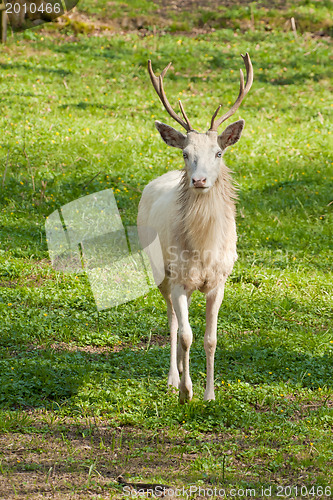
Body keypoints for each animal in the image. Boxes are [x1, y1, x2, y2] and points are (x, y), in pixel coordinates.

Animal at [137, 53, 252, 402]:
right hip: (159, 271)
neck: (204, 249)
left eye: (219, 152)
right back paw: (173, 378)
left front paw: (210, 395)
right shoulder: (178, 279)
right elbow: (186, 334)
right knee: (173, 321)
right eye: (186, 153)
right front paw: (186, 392)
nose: (199, 180)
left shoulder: (219, 280)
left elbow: (210, 339)